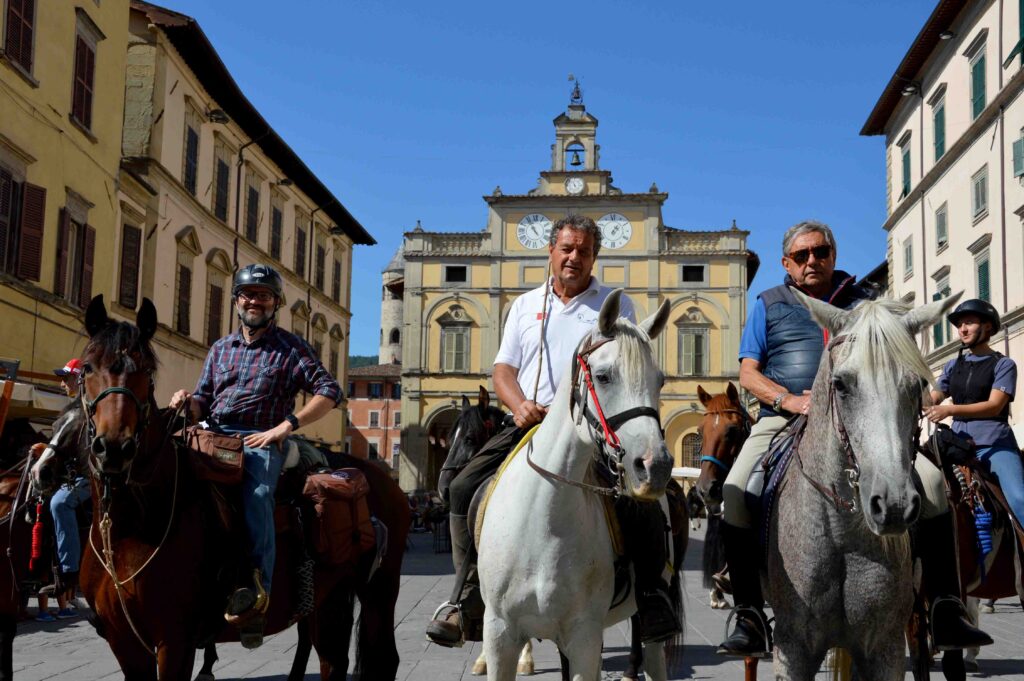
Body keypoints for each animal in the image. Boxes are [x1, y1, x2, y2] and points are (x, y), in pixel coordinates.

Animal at [38, 294, 410, 680]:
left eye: (146, 371)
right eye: (88, 369)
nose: (113, 447)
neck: (131, 528)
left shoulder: (175, 642)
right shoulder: (124, 644)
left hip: (379, 590)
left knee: (384, 658)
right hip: (330, 596)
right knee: (332, 661)